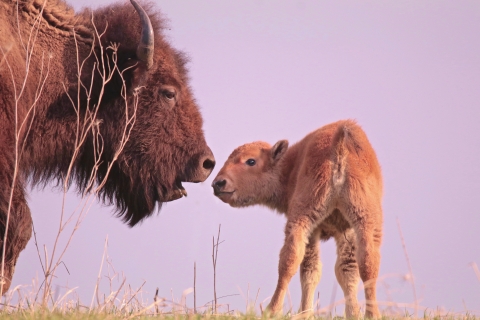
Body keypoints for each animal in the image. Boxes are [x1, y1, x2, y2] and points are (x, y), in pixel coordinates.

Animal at [213, 120, 382, 318]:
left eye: (251, 161)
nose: (218, 183)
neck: (289, 166)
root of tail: (340, 146)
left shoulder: (316, 230)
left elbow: (310, 269)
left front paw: (306, 314)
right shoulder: (346, 230)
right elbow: (346, 271)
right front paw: (353, 314)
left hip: (302, 218)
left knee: (289, 261)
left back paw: (272, 310)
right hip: (366, 221)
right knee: (368, 263)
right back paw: (372, 314)